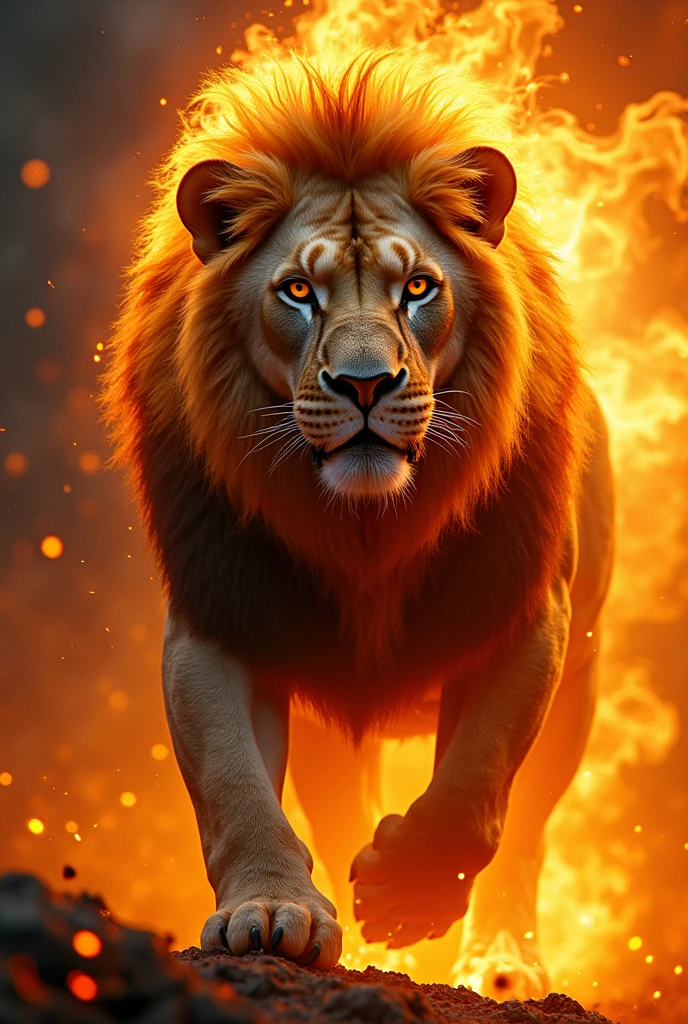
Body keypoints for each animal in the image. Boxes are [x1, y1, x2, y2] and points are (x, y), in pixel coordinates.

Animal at [104, 50, 614, 999]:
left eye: (418, 288)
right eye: (299, 292)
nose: (366, 384)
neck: (367, 529)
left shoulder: (527, 614)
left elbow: (478, 783)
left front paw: (409, 897)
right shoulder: (220, 617)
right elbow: (232, 782)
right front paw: (274, 912)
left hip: (583, 683)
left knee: (528, 828)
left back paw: (501, 962)